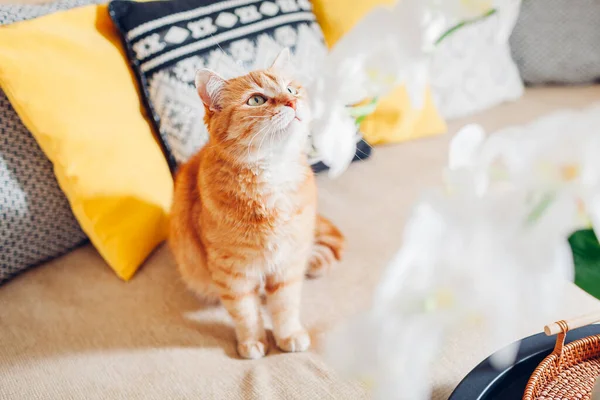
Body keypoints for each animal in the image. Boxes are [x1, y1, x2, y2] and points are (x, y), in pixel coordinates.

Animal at [171, 49, 344, 360]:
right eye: (256, 100)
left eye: (291, 89)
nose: (292, 101)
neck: (271, 175)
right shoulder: (232, 275)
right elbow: (246, 313)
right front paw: (252, 342)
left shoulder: (287, 265)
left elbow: (285, 307)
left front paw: (288, 336)